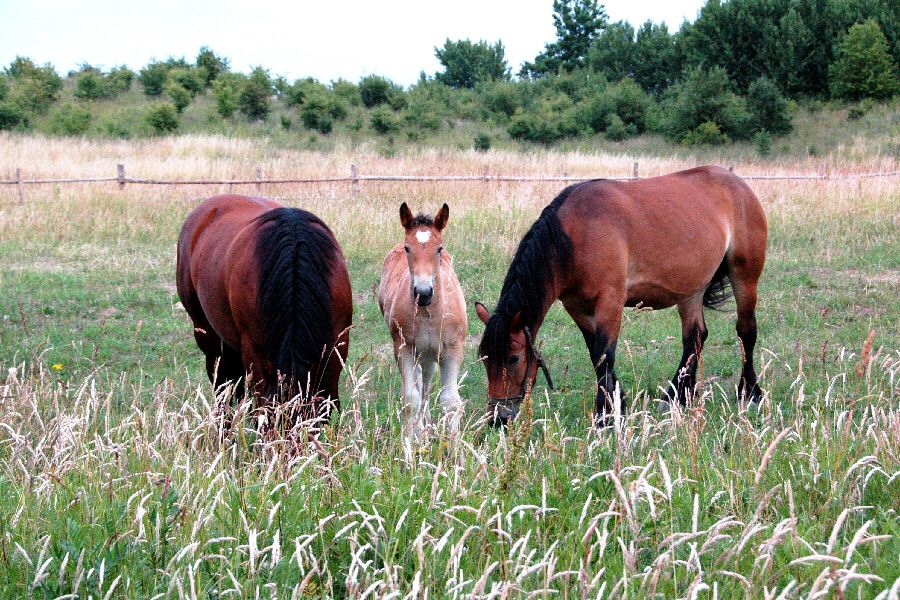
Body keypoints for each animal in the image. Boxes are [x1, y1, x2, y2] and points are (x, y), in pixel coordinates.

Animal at [378, 202, 468, 454]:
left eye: (439, 248)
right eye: (408, 248)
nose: (423, 292)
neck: (429, 313)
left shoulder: (452, 350)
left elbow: (451, 402)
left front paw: (454, 455)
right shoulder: (404, 349)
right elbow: (411, 399)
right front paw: (409, 450)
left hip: (430, 353)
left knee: (426, 384)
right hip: (418, 352)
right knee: (420, 384)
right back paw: (421, 430)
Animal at [472, 164, 768, 426]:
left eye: (514, 358)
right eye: (484, 357)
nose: (498, 418)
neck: (574, 235)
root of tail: (738, 184)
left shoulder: (610, 302)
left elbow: (605, 355)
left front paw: (604, 417)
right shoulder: (577, 308)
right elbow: (596, 355)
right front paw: (618, 403)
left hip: (744, 275)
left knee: (745, 331)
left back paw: (750, 393)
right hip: (691, 290)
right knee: (694, 337)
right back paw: (677, 396)